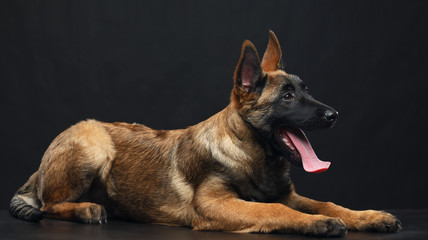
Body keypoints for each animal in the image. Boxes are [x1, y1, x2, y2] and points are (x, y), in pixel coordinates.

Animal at [9, 31, 402, 237]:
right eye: (287, 97)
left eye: (306, 90)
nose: (334, 116)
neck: (252, 154)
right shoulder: (215, 204)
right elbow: (272, 211)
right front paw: (316, 223)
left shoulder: (288, 194)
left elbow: (326, 203)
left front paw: (367, 216)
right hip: (93, 144)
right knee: (49, 204)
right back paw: (87, 209)